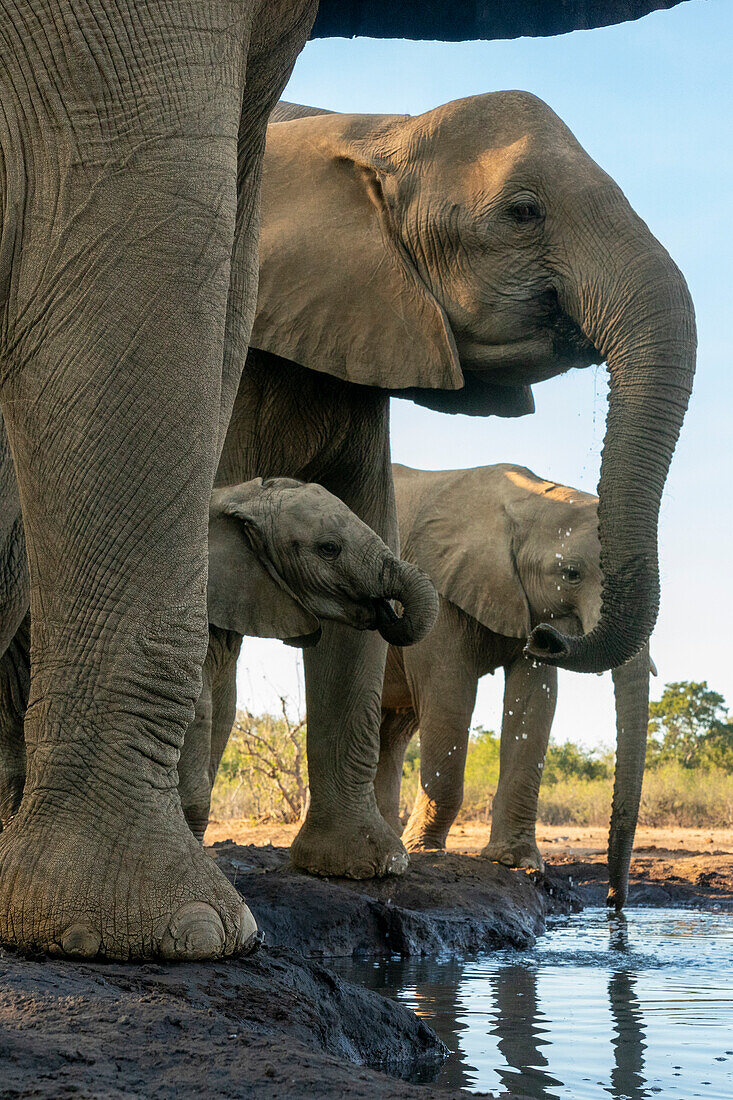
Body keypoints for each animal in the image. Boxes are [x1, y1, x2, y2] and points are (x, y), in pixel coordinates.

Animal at [374, 459, 647, 906]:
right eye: (571, 573)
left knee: (395, 727)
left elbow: (534, 698)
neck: (525, 501)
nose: (612, 902)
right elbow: (449, 691)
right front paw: (425, 851)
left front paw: (514, 862)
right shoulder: (435, 582)